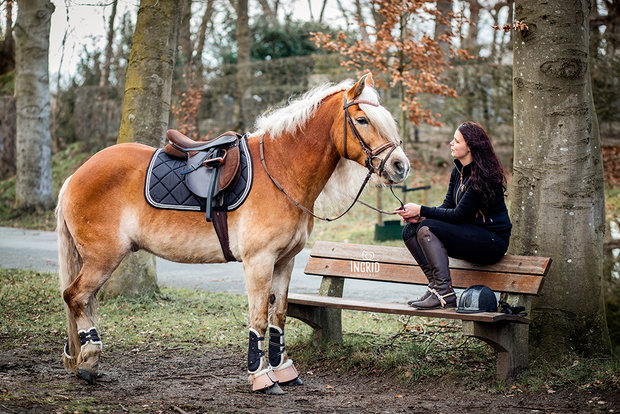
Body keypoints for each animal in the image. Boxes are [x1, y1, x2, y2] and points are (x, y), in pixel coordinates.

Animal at [55, 72, 410, 394]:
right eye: (362, 119)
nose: (400, 166)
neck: (281, 171)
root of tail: (75, 175)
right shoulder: (258, 262)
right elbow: (258, 319)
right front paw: (262, 377)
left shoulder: (285, 262)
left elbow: (278, 316)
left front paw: (283, 370)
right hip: (103, 258)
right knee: (75, 296)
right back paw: (89, 359)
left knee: (83, 301)